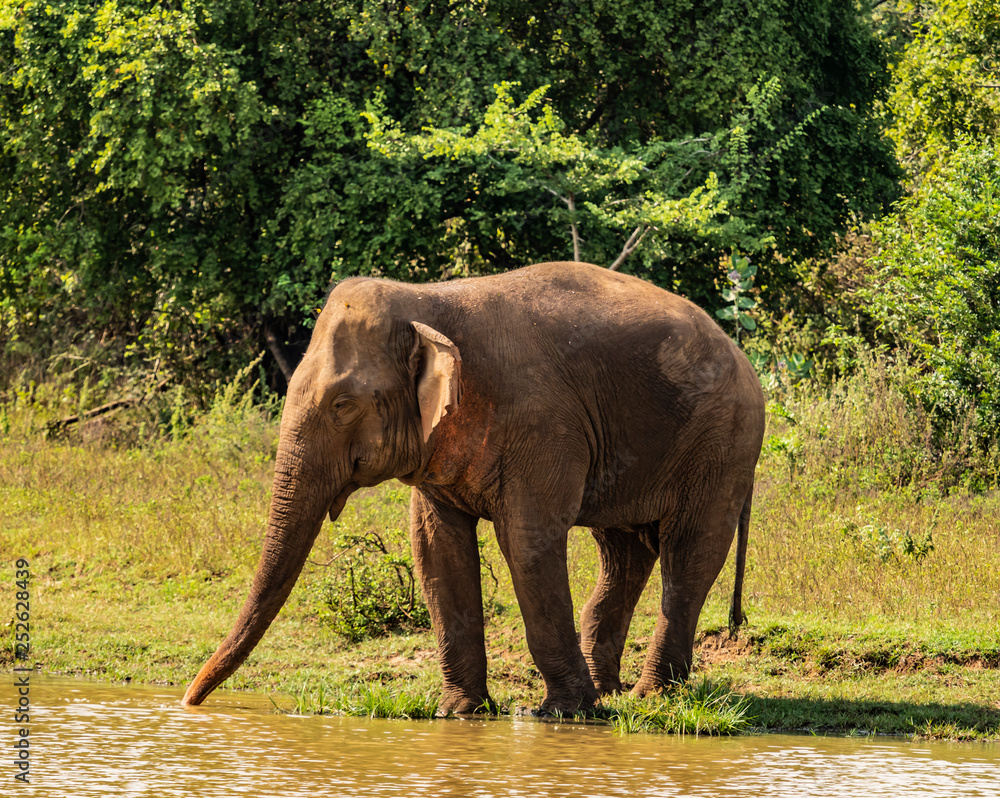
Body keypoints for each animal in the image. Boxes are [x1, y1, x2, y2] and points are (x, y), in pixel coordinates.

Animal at [181, 261, 765, 715]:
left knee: (688, 553)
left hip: (723, 445)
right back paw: (611, 693)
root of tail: (743, 356)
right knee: (623, 552)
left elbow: (528, 543)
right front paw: (460, 713)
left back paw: (650, 698)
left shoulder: (541, 423)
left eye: (343, 405)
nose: (188, 702)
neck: (428, 299)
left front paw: (561, 716)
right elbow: (435, 547)